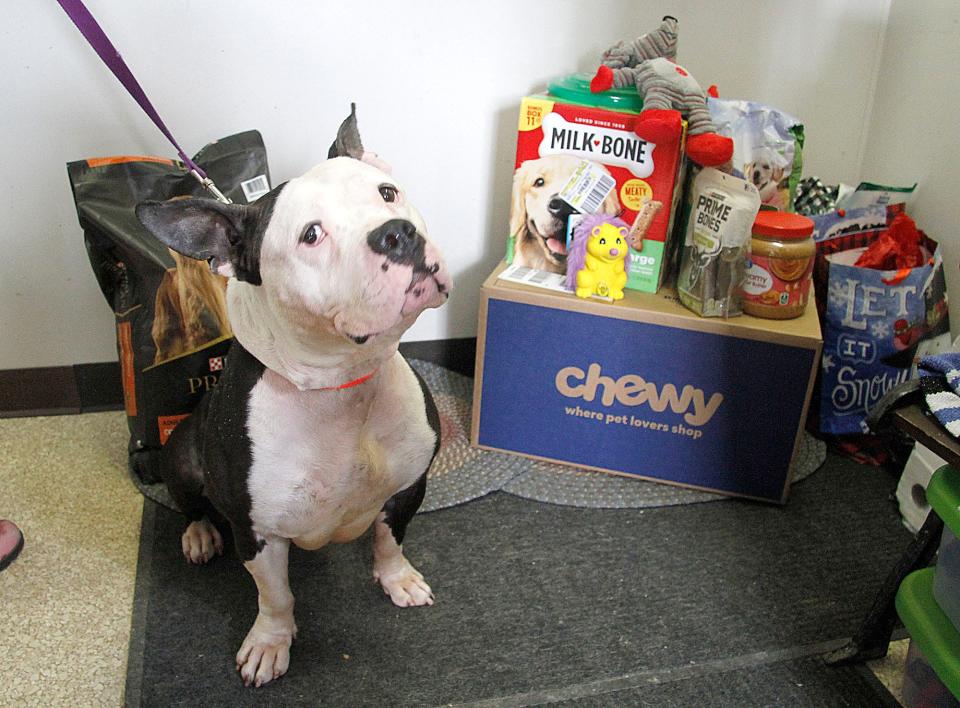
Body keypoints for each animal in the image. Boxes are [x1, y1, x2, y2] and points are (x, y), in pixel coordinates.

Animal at [136, 108, 454, 688]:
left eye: (387, 192)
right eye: (311, 235)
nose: (397, 233)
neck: (343, 387)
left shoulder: (408, 487)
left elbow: (389, 540)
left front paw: (396, 578)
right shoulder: (256, 531)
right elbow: (276, 595)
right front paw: (271, 642)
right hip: (183, 457)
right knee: (191, 502)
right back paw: (199, 535)